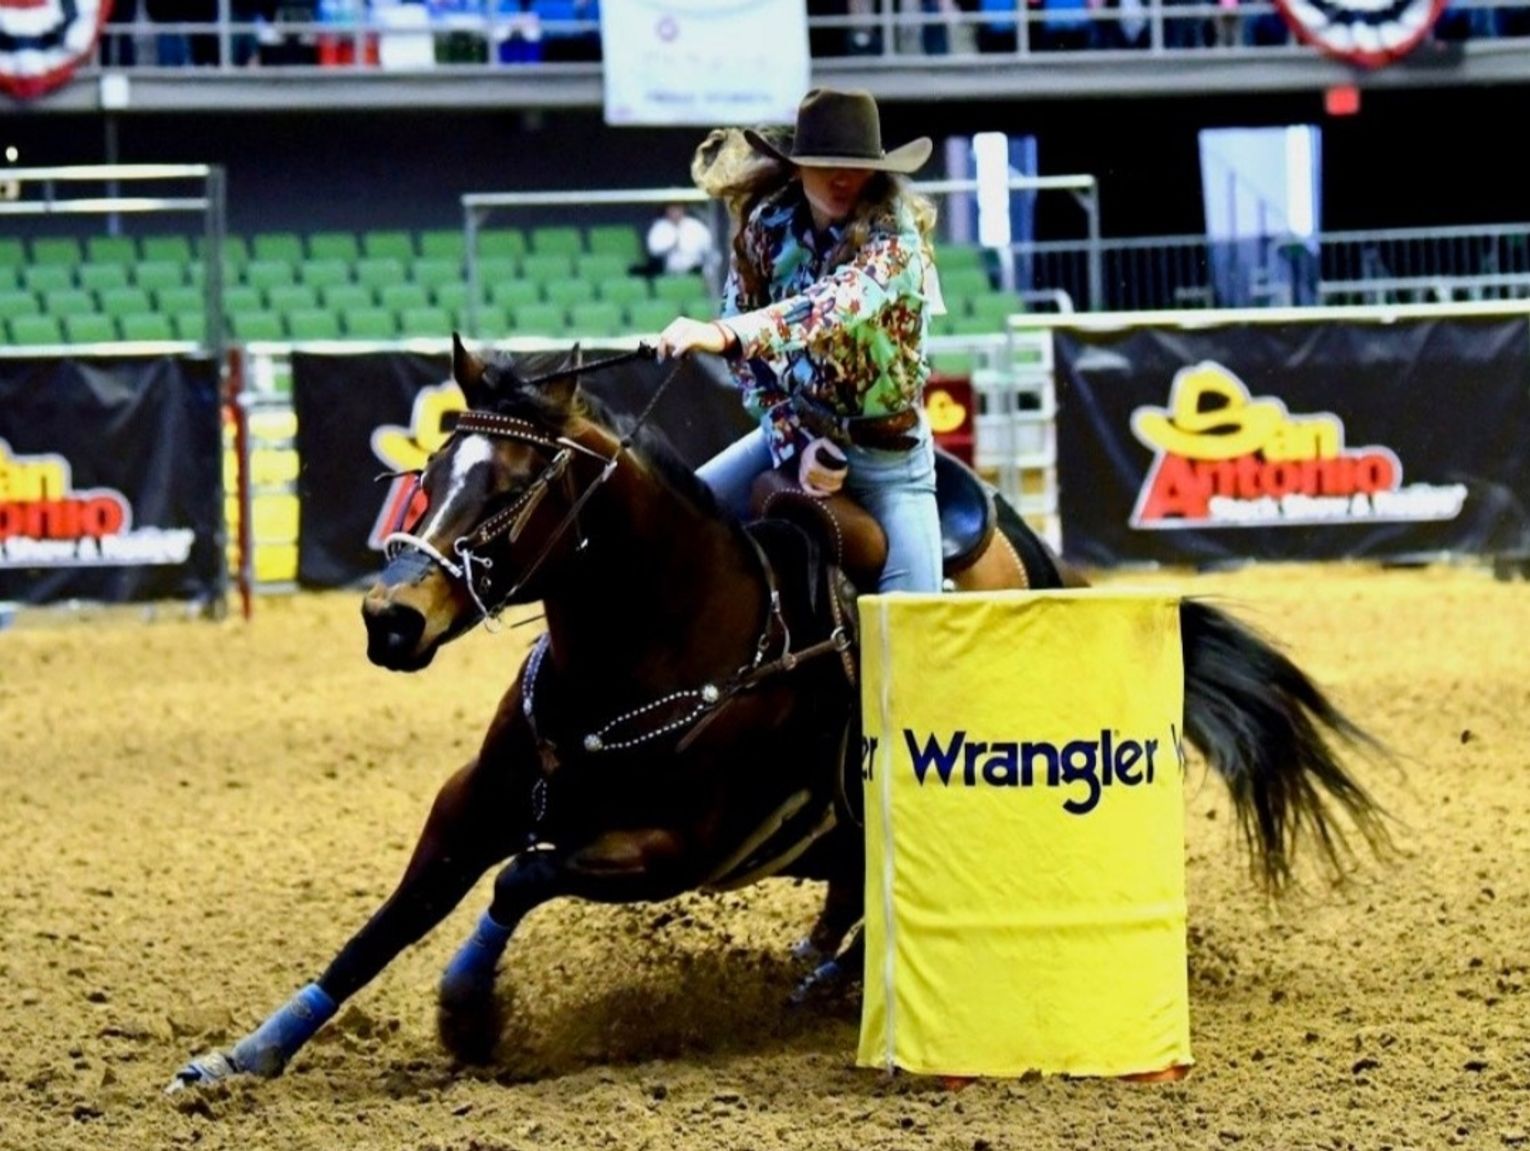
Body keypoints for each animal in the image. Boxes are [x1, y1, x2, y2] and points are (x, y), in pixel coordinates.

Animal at [167, 336, 1389, 1089]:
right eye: (430, 467)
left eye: (511, 486)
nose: (391, 618)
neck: (643, 649)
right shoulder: (471, 801)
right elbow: (388, 920)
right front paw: (245, 1056)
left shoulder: (675, 850)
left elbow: (521, 877)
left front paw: (470, 1013)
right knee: (853, 890)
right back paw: (818, 975)